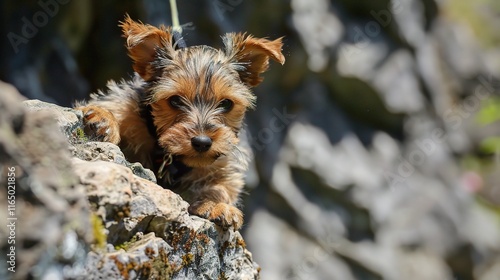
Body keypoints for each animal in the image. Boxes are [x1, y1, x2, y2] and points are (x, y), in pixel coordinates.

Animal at [75, 15, 284, 230]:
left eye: (226, 103)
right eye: (174, 100)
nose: (202, 142)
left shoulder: (224, 163)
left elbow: (222, 186)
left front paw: (216, 204)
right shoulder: (129, 107)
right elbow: (116, 107)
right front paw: (103, 117)